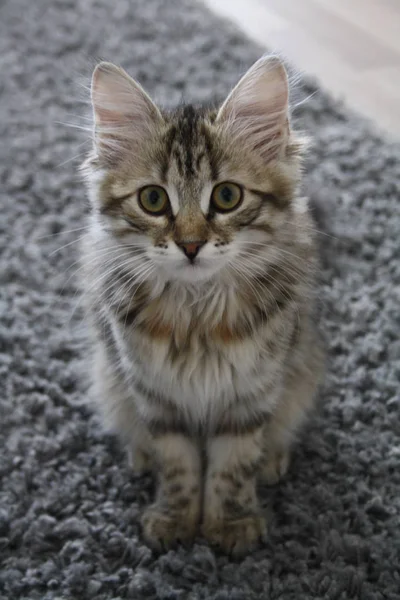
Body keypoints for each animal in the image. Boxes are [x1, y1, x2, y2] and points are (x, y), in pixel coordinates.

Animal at [81, 56, 324, 556]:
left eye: (227, 196)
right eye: (153, 199)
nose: (191, 245)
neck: (197, 317)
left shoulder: (251, 394)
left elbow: (233, 467)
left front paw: (230, 525)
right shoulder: (156, 397)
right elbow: (179, 466)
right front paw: (175, 520)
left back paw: (273, 461)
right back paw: (139, 456)